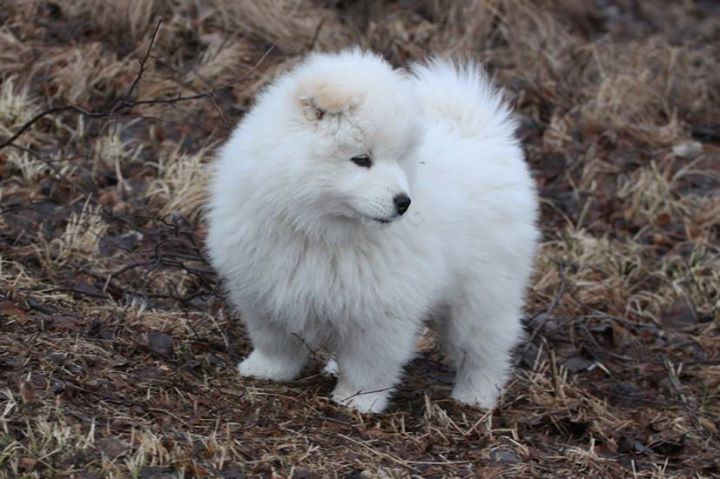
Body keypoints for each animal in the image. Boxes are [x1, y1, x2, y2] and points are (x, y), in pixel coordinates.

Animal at [205, 50, 536, 414]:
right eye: (361, 159)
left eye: (400, 158)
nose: (404, 202)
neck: (319, 228)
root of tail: (476, 132)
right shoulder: (265, 285)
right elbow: (275, 339)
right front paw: (268, 370)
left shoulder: (381, 307)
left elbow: (369, 360)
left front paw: (358, 400)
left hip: (483, 290)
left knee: (484, 345)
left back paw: (477, 394)